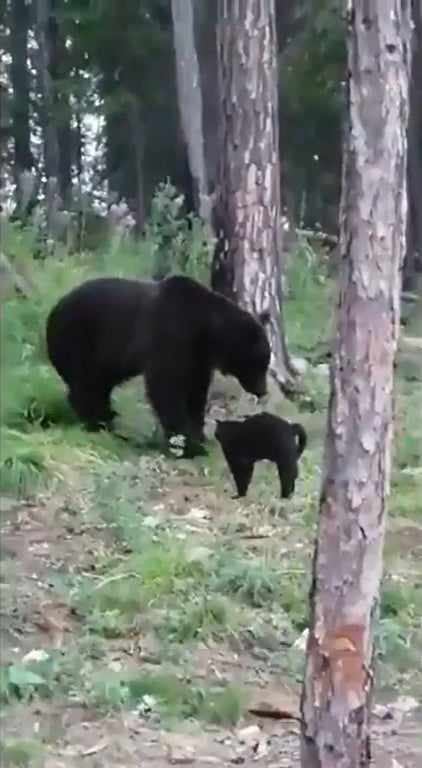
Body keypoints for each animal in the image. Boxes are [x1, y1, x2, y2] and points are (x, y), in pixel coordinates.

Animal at [45, 274, 270, 456]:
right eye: (261, 364)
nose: (263, 390)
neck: (205, 330)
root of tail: (53, 311)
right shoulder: (171, 334)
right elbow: (166, 387)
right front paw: (188, 445)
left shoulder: (197, 358)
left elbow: (196, 392)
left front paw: (200, 436)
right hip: (79, 342)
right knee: (86, 385)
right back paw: (99, 422)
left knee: (97, 386)